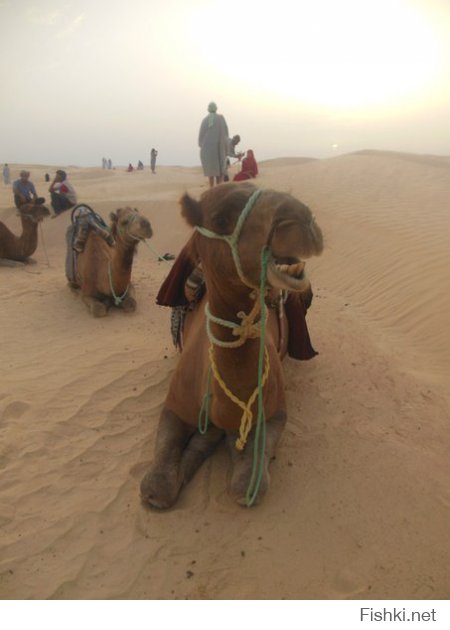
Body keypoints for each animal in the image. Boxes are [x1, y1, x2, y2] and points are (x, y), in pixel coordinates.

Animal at [141, 181, 324, 508]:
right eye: (221, 218)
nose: (301, 220)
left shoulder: (276, 413)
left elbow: (247, 485)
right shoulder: (173, 405)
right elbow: (156, 487)